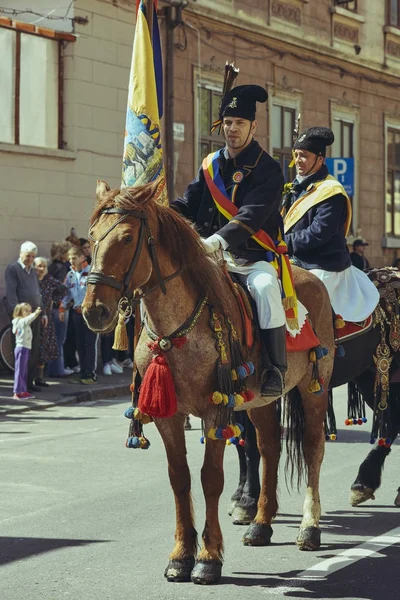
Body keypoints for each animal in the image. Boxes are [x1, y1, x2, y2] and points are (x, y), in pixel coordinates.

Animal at [83, 182, 336, 584]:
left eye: (126, 238)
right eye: (92, 237)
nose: (94, 311)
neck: (175, 330)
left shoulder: (217, 409)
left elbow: (210, 478)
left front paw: (208, 557)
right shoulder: (168, 414)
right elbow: (180, 478)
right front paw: (180, 555)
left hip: (316, 385)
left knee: (312, 448)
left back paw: (309, 528)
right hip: (260, 400)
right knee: (269, 448)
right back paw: (261, 523)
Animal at [230, 270, 400, 528]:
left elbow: (250, 444)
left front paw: (247, 501)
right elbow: (243, 445)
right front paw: (242, 496)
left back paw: (366, 482)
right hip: (369, 375)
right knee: (392, 423)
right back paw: (364, 483)